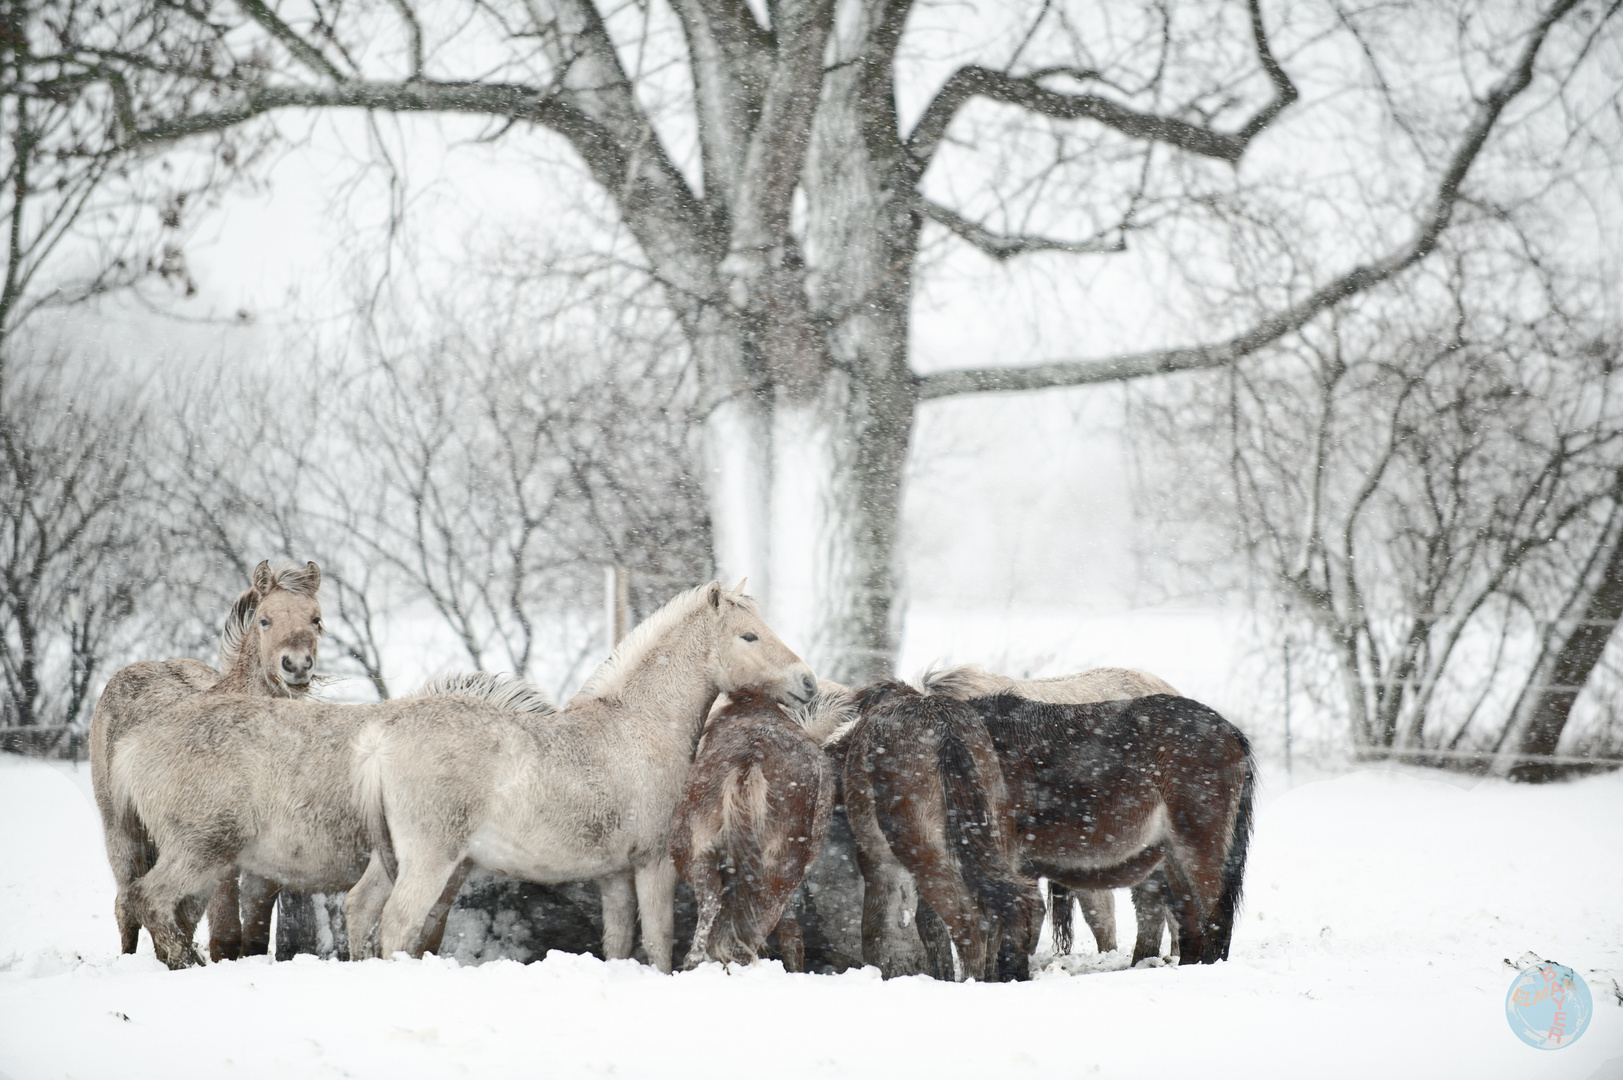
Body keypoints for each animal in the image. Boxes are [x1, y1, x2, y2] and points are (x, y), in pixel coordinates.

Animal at [348, 581, 817, 967]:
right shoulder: (655, 864)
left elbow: (619, 942)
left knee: (359, 910)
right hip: (429, 861)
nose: (808, 681)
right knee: (397, 923)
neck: (642, 722)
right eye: (748, 635)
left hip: (391, 860)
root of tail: (380, 743)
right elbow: (659, 942)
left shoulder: (614, 876)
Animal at [668, 685, 837, 974]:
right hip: (780, 871)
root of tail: (750, 761)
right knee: (750, 933)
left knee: (712, 903)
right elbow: (791, 933)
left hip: (693, 848)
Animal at [837, 685, 1038, 980]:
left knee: (969, 925)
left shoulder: (876, 862)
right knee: (993, 915)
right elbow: (930, 925)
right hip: (990, 841)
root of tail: (946, 726)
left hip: (922, 851)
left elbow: (873, 930)